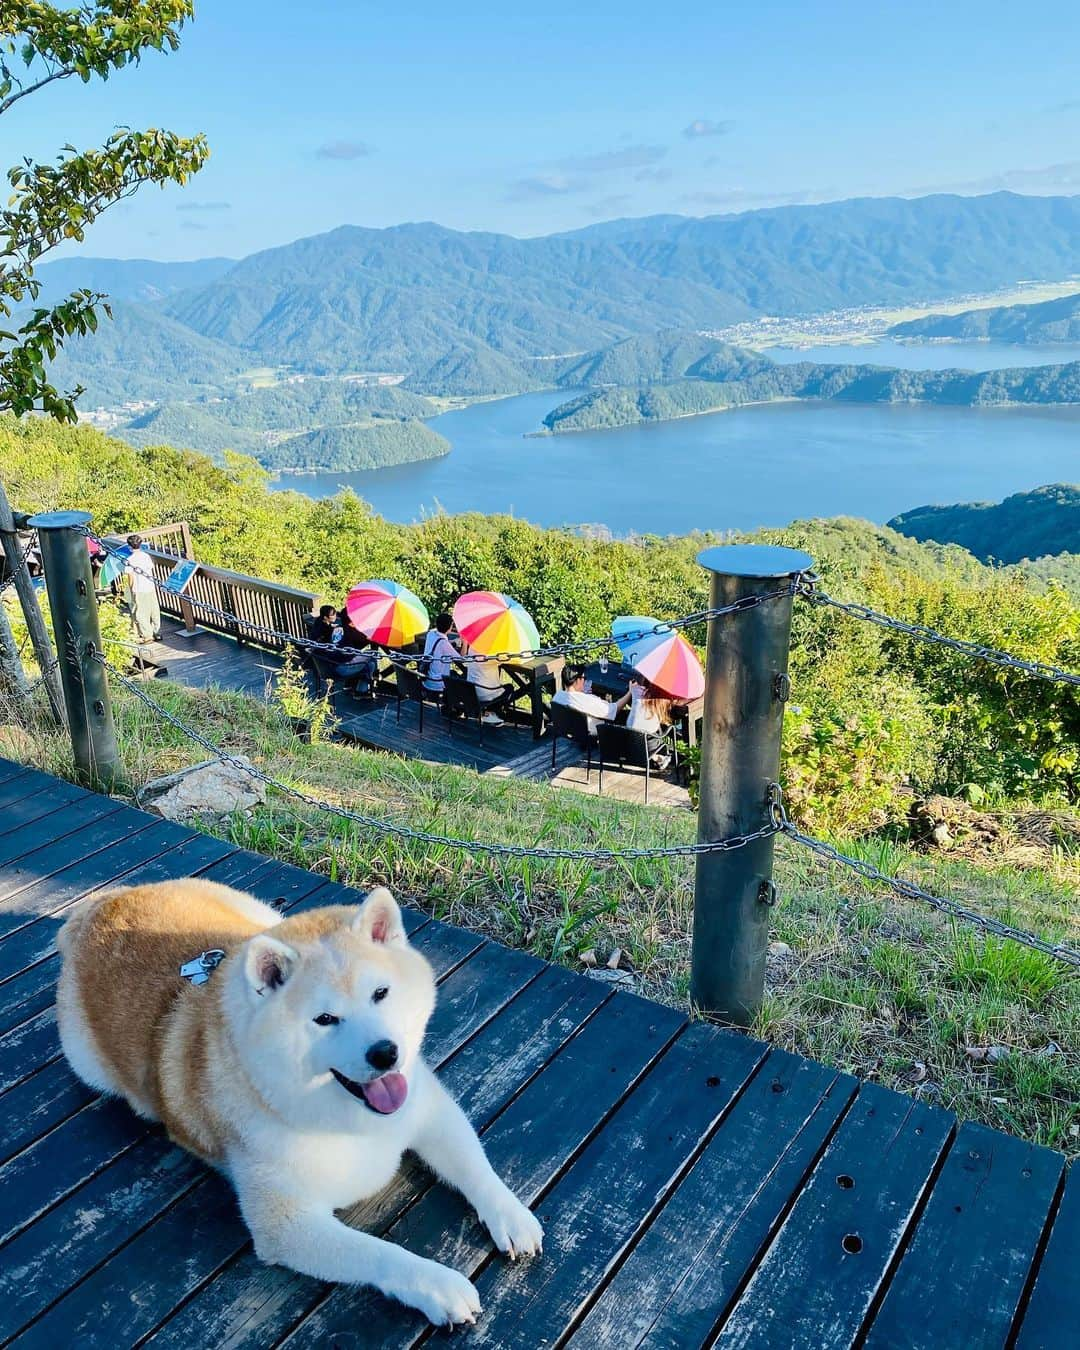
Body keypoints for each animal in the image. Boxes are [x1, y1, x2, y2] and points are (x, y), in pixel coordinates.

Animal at [53, 874, 540, 1328]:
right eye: (324, 1019)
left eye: (380, 994)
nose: (386, 1053)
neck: (351, 1119)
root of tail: (105, 902)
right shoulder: (287, 1223)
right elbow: (379, 1252)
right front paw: (437, 1285)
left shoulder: (428, 1108)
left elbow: (476, 1168)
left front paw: (511, 1215)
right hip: (88, 1063)